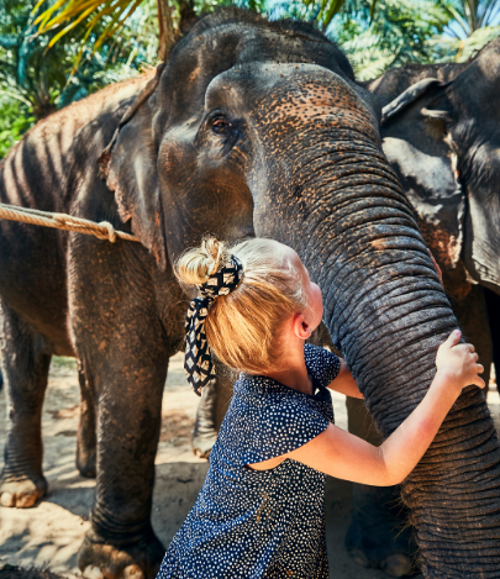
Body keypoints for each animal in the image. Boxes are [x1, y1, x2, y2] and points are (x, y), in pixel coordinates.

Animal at [0, 9, 500, 579]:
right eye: (220, 123)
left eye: (378, 129)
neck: (152, 91)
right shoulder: (101, 218)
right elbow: (124, 369)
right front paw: (119, 565)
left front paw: (389, 559)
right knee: (27, 370)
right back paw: (23, 493)